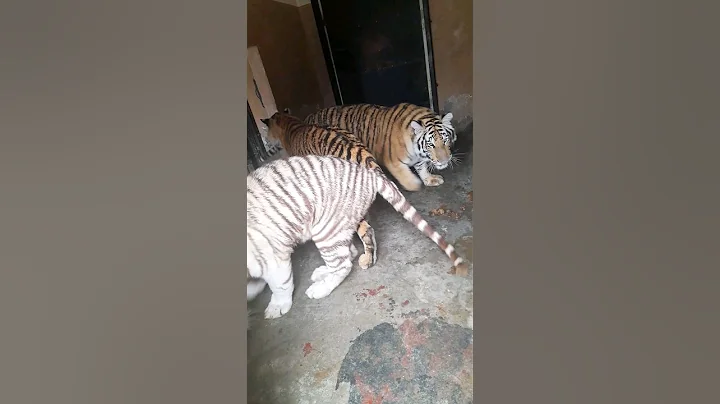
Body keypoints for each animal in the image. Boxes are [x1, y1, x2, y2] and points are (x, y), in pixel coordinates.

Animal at [247, 155, 469, 319]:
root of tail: (366, 172)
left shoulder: (271, 254)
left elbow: (280, 284)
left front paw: (277, 306)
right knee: (349, 252)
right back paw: (322, 272)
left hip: (326, 228)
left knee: (343, 263)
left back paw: (320, 288)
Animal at [304, 103, 457, 192]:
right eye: (431, 144)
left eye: (445, 140)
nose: (444, 160)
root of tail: (308, 118)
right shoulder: (394, 162)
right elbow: (406, 177)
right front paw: (415, 185)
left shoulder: (419, 159)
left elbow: (422, 168)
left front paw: (429, 179)